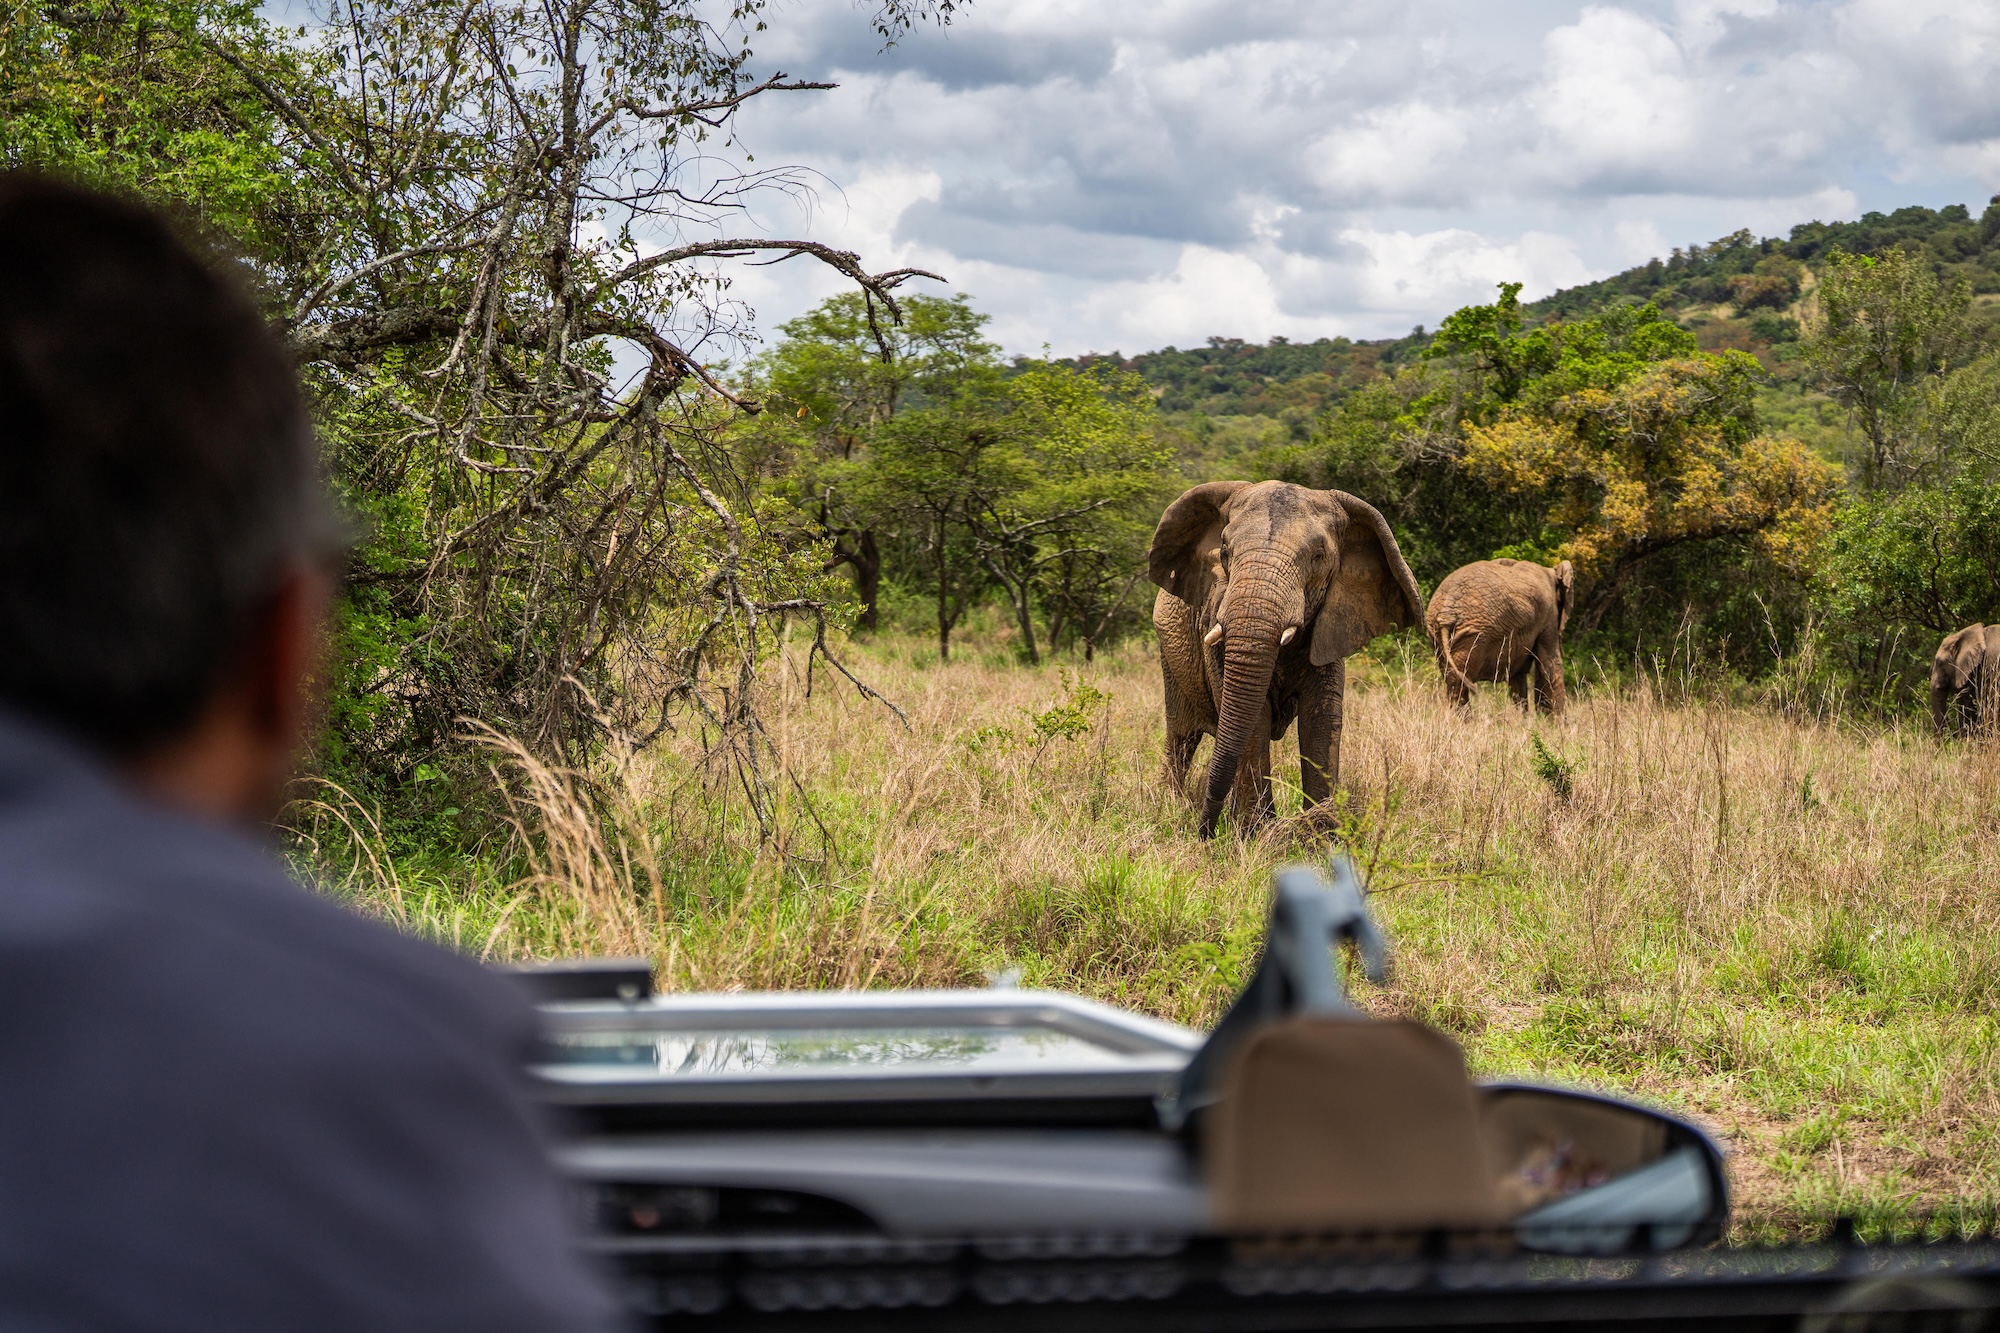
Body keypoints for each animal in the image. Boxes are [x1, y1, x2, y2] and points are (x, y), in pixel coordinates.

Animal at [1148, 480, 1426, 839]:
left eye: (1318, 557)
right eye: (1224, 551)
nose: (1205, 833)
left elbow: (1321, 717)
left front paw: (1322, 835)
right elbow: (1253, 717)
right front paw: (1254, 834)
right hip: (1169, 647)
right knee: (1182, 735)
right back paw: (1172, 804)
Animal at [1425, 558, 1573, 716]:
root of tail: (1446, 613)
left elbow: (1518, 678)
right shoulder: (1549, 616)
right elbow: (1549, 666)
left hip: (1438, 635)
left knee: (1453, 682)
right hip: (1474, 636)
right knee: (1459, 684)